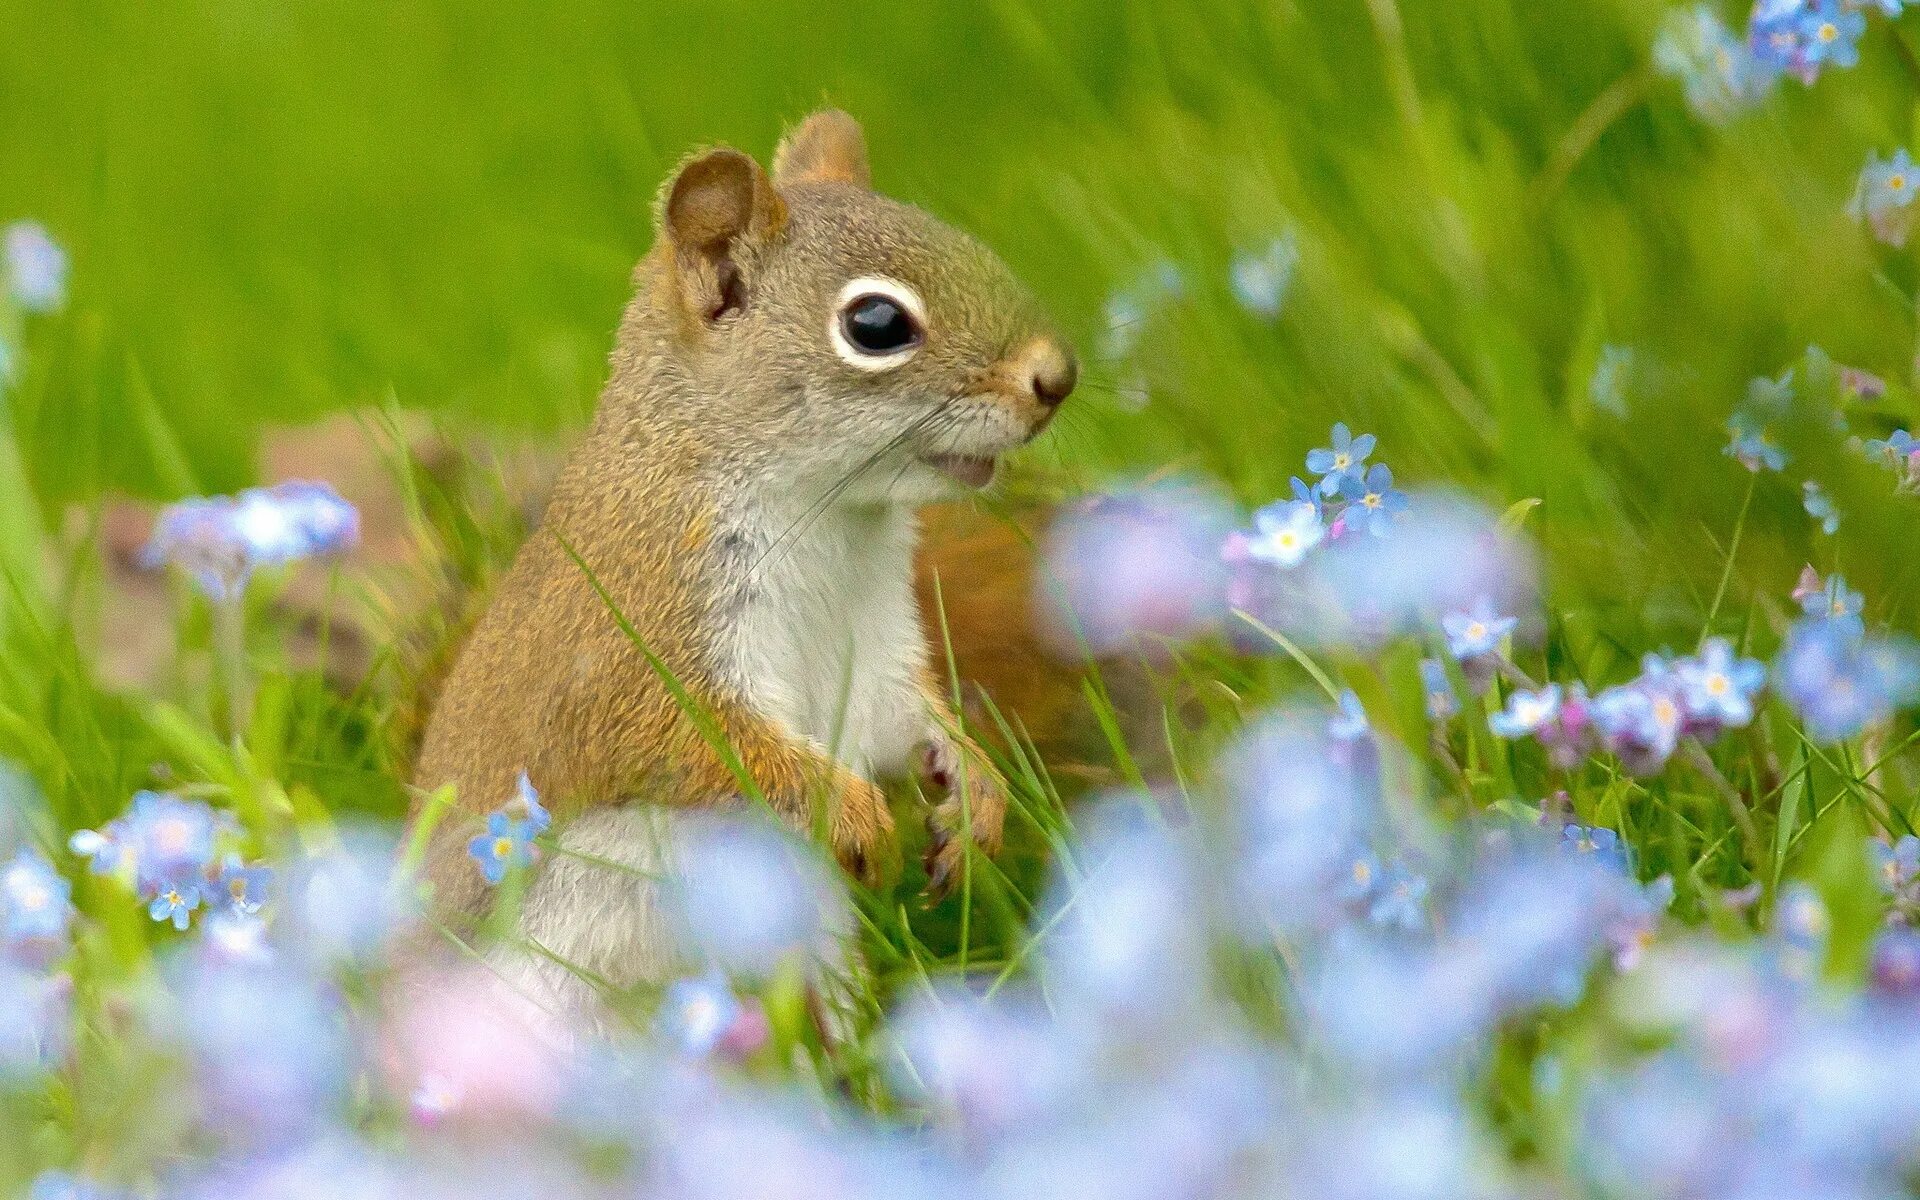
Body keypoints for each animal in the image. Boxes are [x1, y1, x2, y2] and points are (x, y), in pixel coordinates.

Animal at [410, 112, 1082, 1013]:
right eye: (876, 324)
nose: (1058, 377)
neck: (831, 520)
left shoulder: (873, 644)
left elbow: (901, 716)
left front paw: (974, 793)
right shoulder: (639, 631)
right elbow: (695, 741)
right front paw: (853, 812)